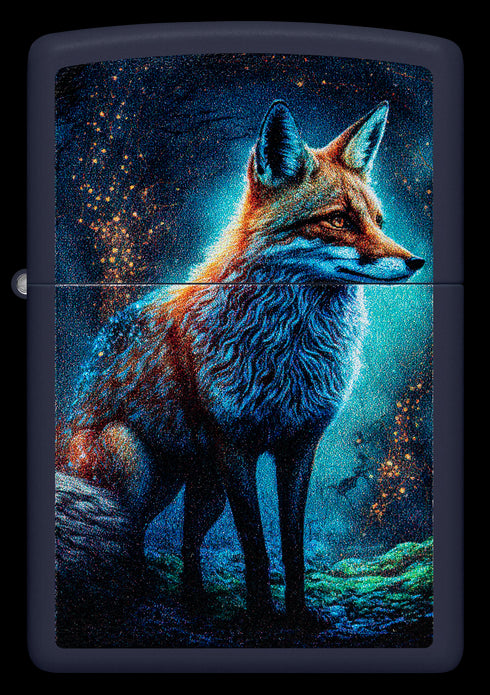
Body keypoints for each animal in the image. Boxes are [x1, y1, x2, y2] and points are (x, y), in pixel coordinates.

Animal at [58, 99, 424, 629]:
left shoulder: (299, 445)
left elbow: (290, 547)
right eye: (337, 221)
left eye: (378, 219)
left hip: (201, 487)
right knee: (129, 537)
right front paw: (264, 618)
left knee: (185, 544)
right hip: (137, 469)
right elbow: (255, 547)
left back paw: (195, 603)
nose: (416, 262)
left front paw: (297, 615)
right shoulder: (236, 445)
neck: (292, 353)